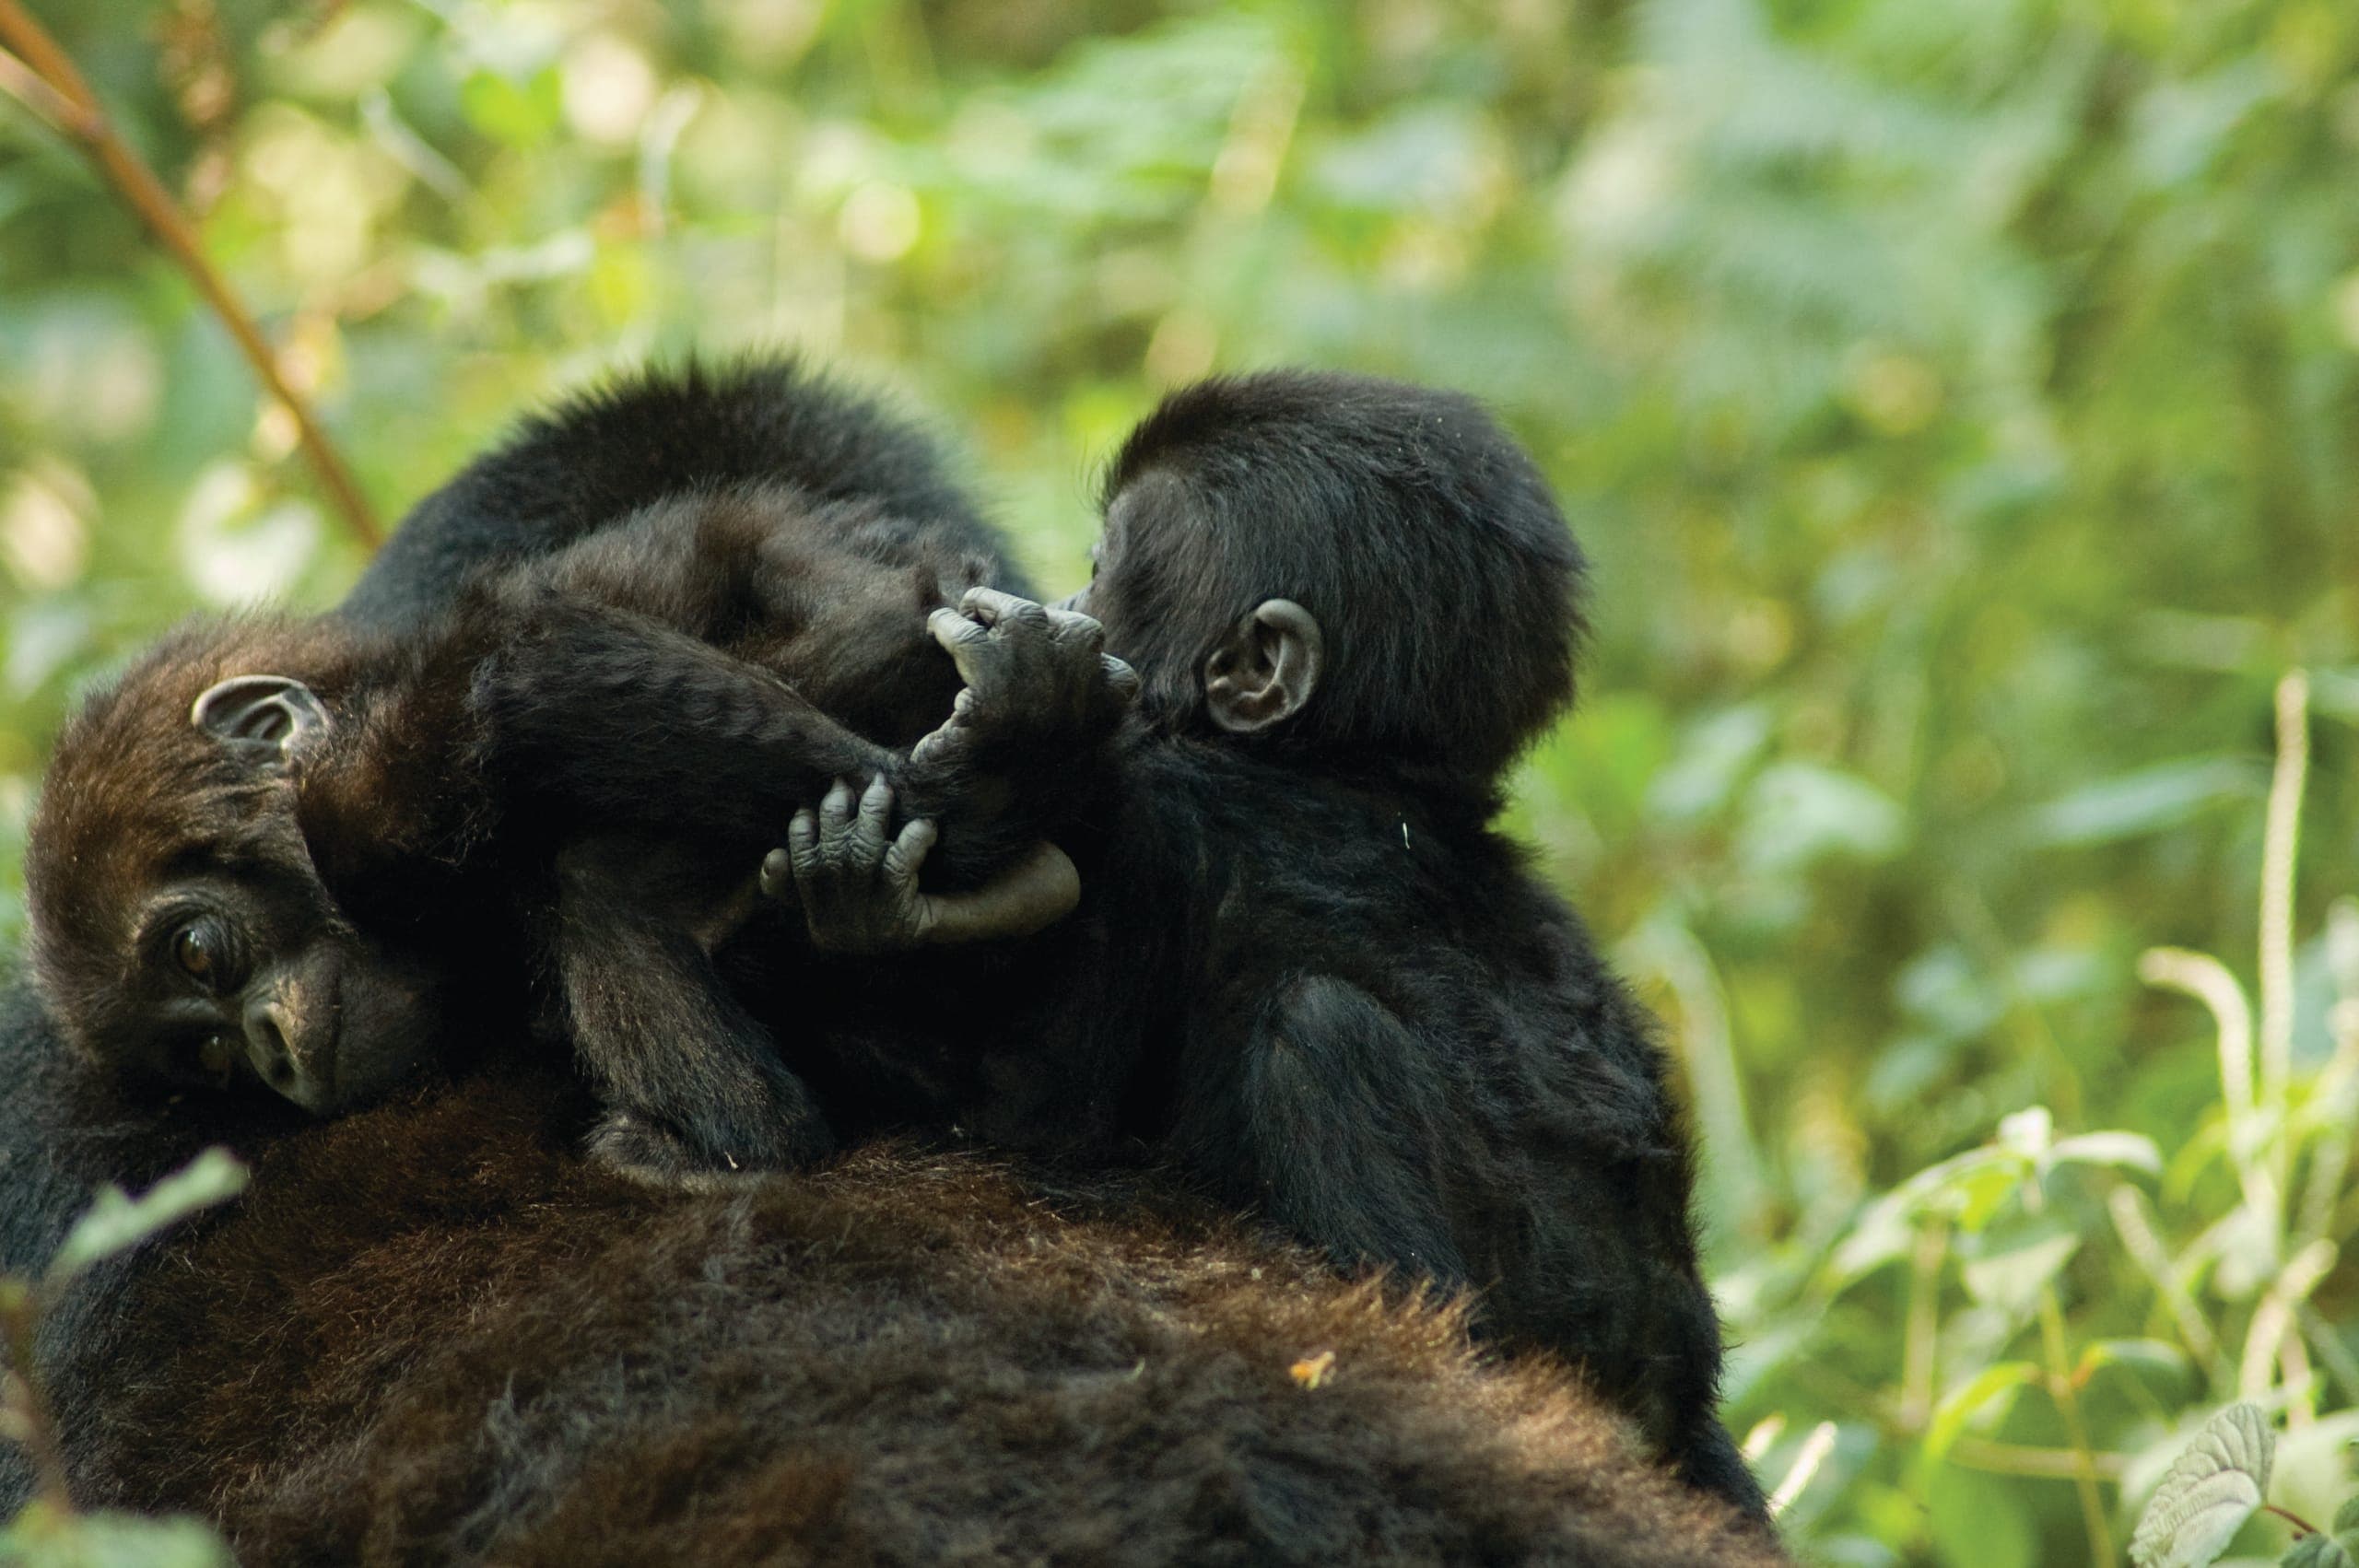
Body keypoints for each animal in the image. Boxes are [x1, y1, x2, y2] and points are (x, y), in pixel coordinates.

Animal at [768, 370, 1769, 1517]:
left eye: (1102, 571)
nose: (1060, 605)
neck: (1358, 770)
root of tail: (1654, 1388)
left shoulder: (1153, 830)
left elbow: (1023, 1113)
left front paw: (1014, 737)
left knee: (1317, 1034)